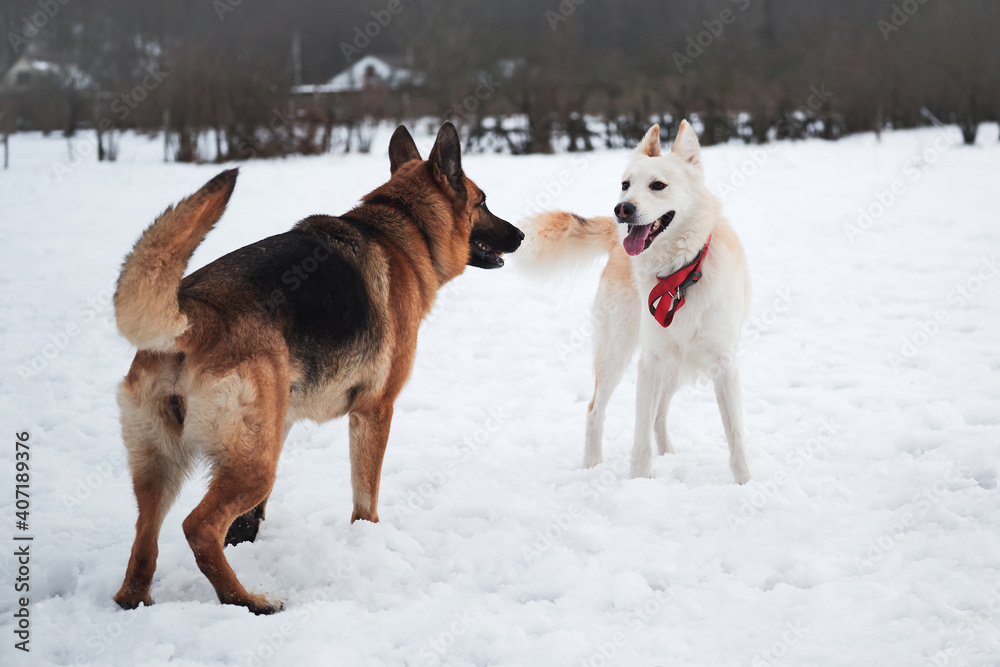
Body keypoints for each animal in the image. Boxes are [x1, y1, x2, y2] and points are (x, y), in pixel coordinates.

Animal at [111, 122, 524, 612]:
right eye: (482, 202)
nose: (521, 235)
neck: (407, 227)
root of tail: (194, 313)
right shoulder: (374, 410)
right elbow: (366, 497)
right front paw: (366, 542)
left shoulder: (283, 420)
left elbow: (251, 517)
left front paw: (247, 539)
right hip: (251, 465)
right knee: (198, 528)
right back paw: (248, 601)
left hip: (167, 467)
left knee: (144, 544)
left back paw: (140, 600)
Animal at [524, 120, 752, 482]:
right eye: (625, 185)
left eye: (658, 185)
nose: (622, 209)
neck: (680, 275)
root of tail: (617, 240)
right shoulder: (650, 362)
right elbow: (640, 436)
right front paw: (639, 482)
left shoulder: (724, 365)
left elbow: (735, 436)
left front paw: (746, 483)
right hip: (617, 354)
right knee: (595, 411)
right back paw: (591, 466)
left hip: (674, 368)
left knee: (659, 414)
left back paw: (668, 453)